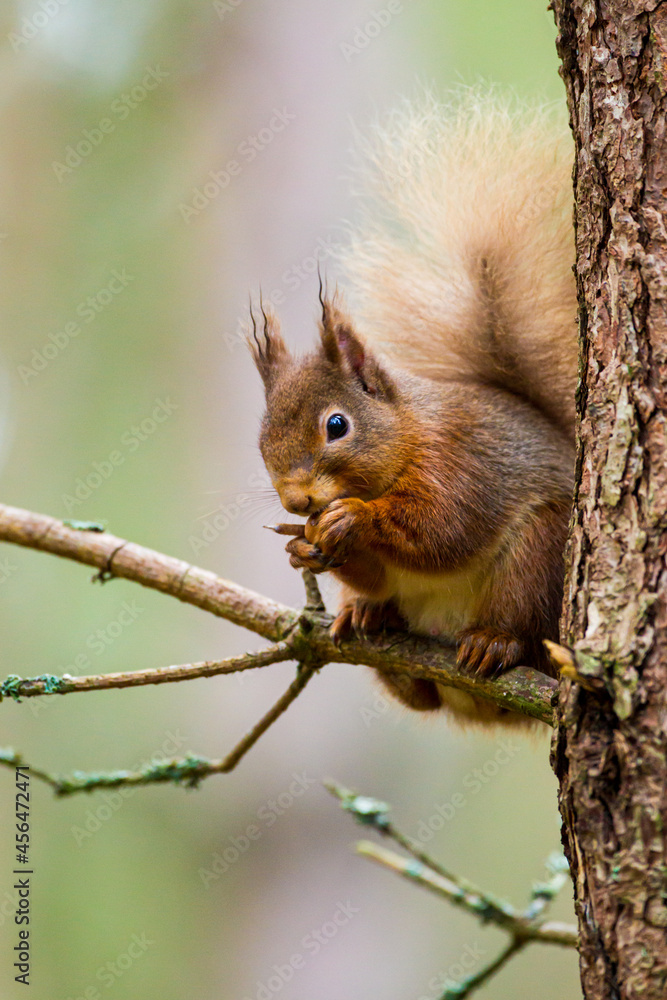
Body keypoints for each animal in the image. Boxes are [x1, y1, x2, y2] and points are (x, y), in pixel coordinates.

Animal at [248, 91, 577, 726]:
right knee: (418, 696)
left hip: (540, 555)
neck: (409, 433)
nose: (297, 501)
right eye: (261, 443)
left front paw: (354, 519)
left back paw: (495, 641)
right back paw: (368, 619)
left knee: (522, 624)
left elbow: (443, 531)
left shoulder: (462, 461)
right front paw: (303, 546)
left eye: (337, 425)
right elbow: (378, 568)